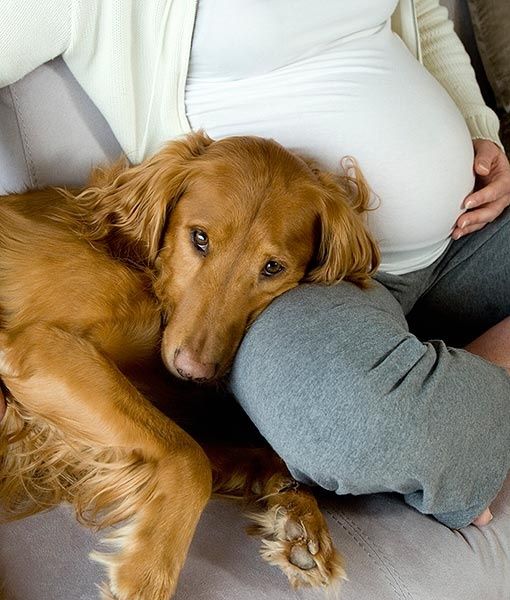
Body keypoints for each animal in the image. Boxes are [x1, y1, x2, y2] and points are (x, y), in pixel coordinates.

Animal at [0, 134, 378, 596]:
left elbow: (239, 453)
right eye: (199, 238)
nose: (193, 371)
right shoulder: (40, 347)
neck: (144, 274)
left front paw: (297, 515)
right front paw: (148, 572)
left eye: (273, 267)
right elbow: (189, 455)